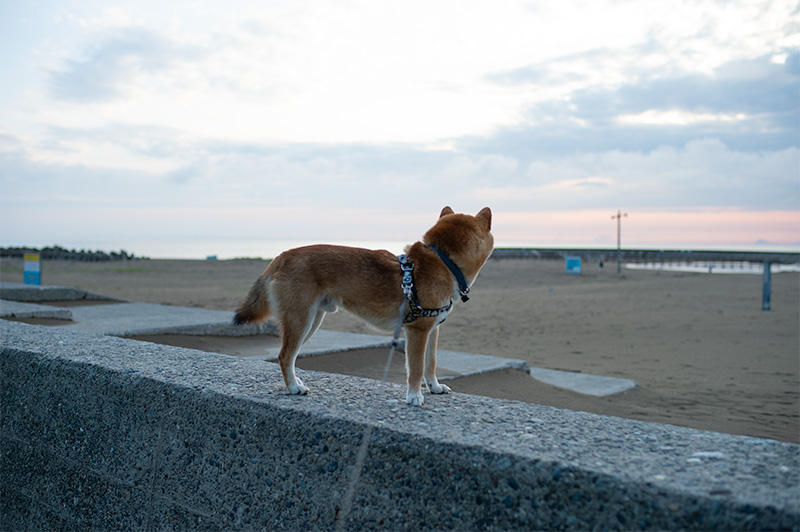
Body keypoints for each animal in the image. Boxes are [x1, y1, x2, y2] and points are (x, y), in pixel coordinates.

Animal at [233, 206, 494, 406]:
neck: (443, 262)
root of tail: (283, 255)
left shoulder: (432, 329)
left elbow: (431, 364)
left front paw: (435, 387)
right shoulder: (417, 331)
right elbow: (417, 368)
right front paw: (414, 397)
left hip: (311, 321)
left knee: (289, 356)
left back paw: (295, 384)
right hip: (301, 321)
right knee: (285, 355)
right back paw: (294, 388)